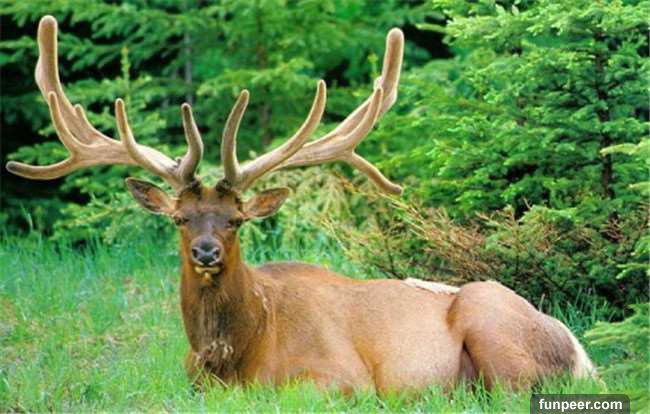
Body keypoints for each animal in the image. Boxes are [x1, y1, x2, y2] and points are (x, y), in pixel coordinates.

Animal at [7, 16, 596, 395]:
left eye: (236, 220)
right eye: (179, 218)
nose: (205, 252)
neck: (233, 358)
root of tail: (581, 353)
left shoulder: (340, 378)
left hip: (492, 324)